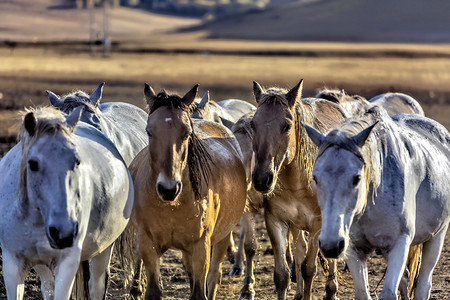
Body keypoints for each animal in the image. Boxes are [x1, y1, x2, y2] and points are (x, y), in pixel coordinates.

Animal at [0, 106, 134, 298]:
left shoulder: (67, 263)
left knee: (97, 285)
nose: (63, 233)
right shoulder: (12, 265)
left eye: (77, 161)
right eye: (33, 164)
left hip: (103, 249)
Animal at [128, 84, 248, 300]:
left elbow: (200, 290)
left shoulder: (201, 245)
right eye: (149, 131)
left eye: (186, 133)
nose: (168, 189)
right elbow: (154, 290)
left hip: (221, 237)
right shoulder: (147, 244)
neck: (171, 206)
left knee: (214, 275)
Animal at [250, 79, 344, 300]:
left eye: (287, 125)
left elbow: (309, 269)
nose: (262, 179)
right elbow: (282, 274)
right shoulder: (276, 221)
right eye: (253, 124)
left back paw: (331, 290)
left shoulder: (318, 225)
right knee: (299, 249)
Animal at [304, 106, 448, 300]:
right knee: (405, 279)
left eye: (357, 178)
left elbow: (388, 293)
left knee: (423, 284)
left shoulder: (398, 244)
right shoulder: (354, 249)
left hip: (437, 236)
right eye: (315, 178)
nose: (330, 246)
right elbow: (363, 293)